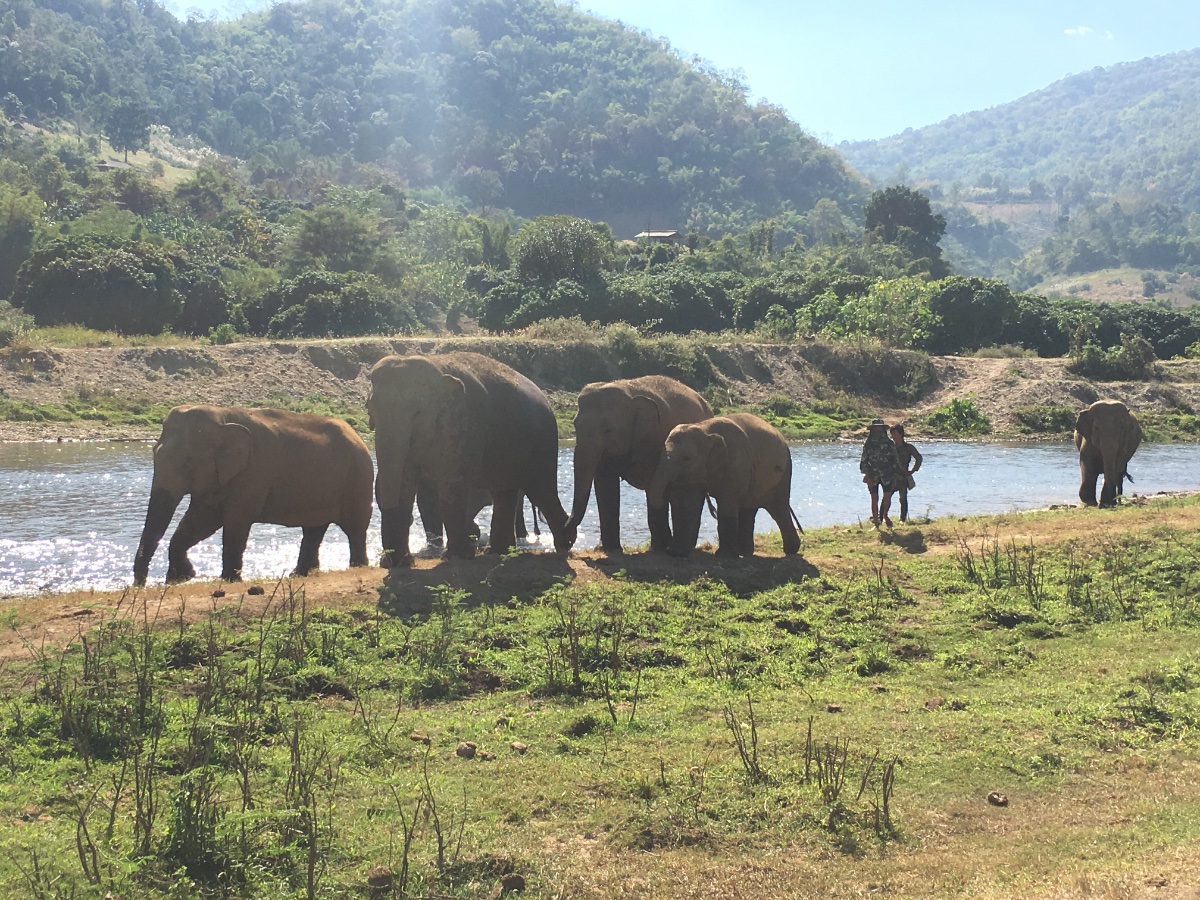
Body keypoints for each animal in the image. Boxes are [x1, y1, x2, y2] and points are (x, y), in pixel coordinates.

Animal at [133, 405, 373, 585]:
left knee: (354, 528)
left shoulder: (253, 473)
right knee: (313, 530)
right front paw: (182, 577)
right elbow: (201, 521)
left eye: (188, 464)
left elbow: (235, 522)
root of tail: (357, 435)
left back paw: (358, 567)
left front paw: (228, 580)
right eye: (153, 454)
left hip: (357, 479)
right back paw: (299, 574)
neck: (222, 416)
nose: (139, 585)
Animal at [367, 351, 571, 567]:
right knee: (504, 492)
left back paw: (563, 547)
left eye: (417, 413)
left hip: (543, 443)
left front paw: (457, 556)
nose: (387, 558)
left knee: (541, 489)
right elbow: (404, 481)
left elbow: (451, 482)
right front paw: (397, 563)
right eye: (371, 409)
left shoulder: (464, 426)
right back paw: (497, 551)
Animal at [567, 375, 712, 554]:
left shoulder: (655, 440)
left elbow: (653, 486)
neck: (629, 393)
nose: (568, 541)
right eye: (575, 425)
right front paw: (609, 549)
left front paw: (659, 547)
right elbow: (605, 486)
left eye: (608, 430)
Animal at [649, 413, 801, 558]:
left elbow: (727, 503)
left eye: (686, 459)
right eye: (660, 454)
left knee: (778, 509)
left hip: (783, 474)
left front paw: (724, 556)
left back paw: (790, 550)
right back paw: (745, 552)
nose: (667, 550)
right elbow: (687, 502)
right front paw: (675, 554)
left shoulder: (736, 462)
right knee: (749, 510)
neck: (703, 428)